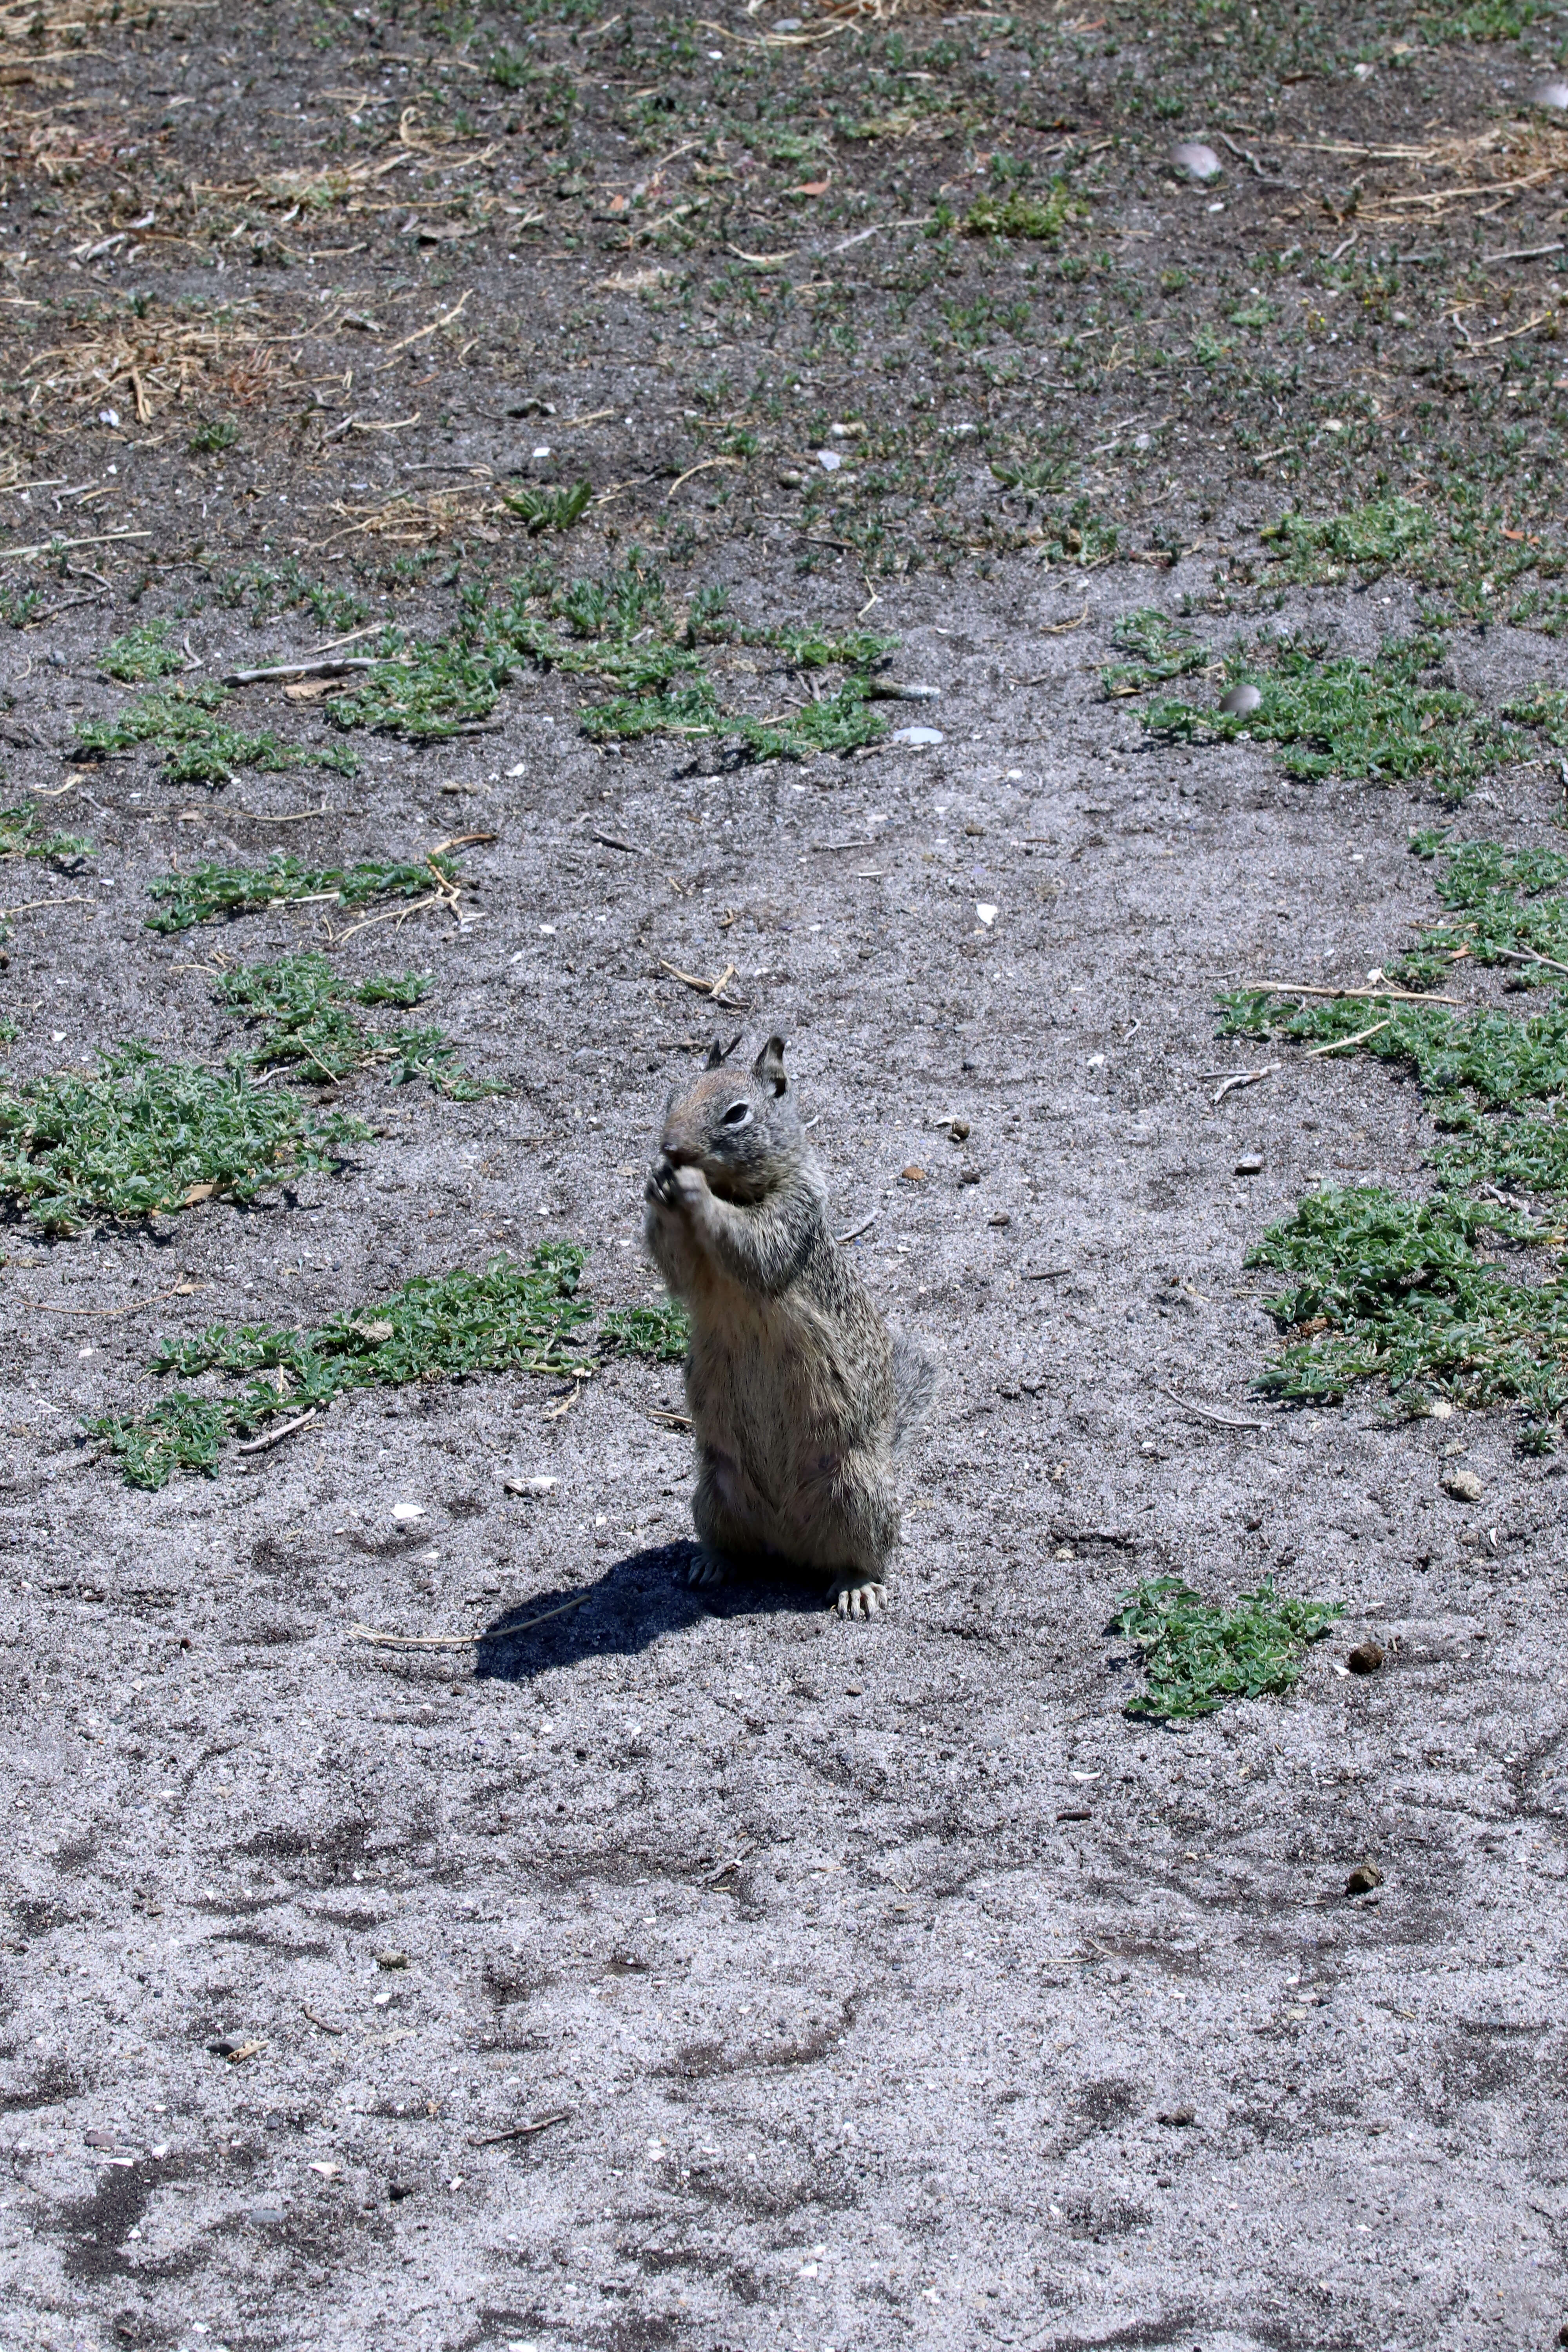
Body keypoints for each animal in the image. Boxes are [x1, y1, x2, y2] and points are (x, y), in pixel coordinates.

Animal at [639, 1035, 931, 1618]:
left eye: (737, 1114)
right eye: (671, 1096)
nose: (672, 1148)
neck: (733, 1188)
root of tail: (791, 1544)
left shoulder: (793, 1212)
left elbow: (756, 1246)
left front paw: (690, 1186)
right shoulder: (696, 1274)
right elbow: (678, 1268)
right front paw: (657, 1181)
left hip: (858, 1492)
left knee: (865, 1555)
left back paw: (857, 1586)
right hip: (714, 1490)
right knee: (739, 1547)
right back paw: (713, 1563)